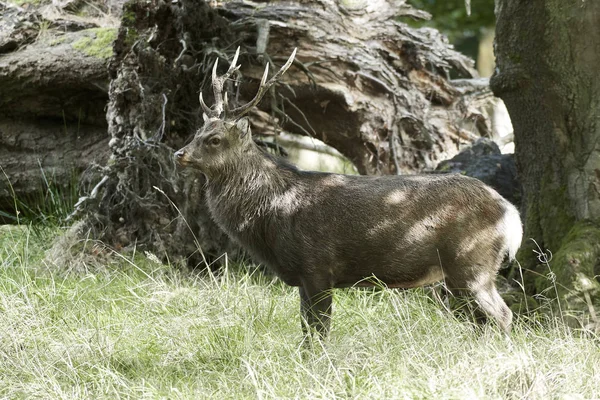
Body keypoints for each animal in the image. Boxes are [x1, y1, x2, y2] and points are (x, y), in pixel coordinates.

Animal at [173, 48, 520, 340]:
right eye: (197, 133)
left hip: (471, 261)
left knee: (502, 315)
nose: (179, 154)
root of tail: (512, 216)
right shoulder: (305, 277)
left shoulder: (316, 265)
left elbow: (318, 331)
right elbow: (307, 330)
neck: (273, 212)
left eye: (214, 139)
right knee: (481, 320)